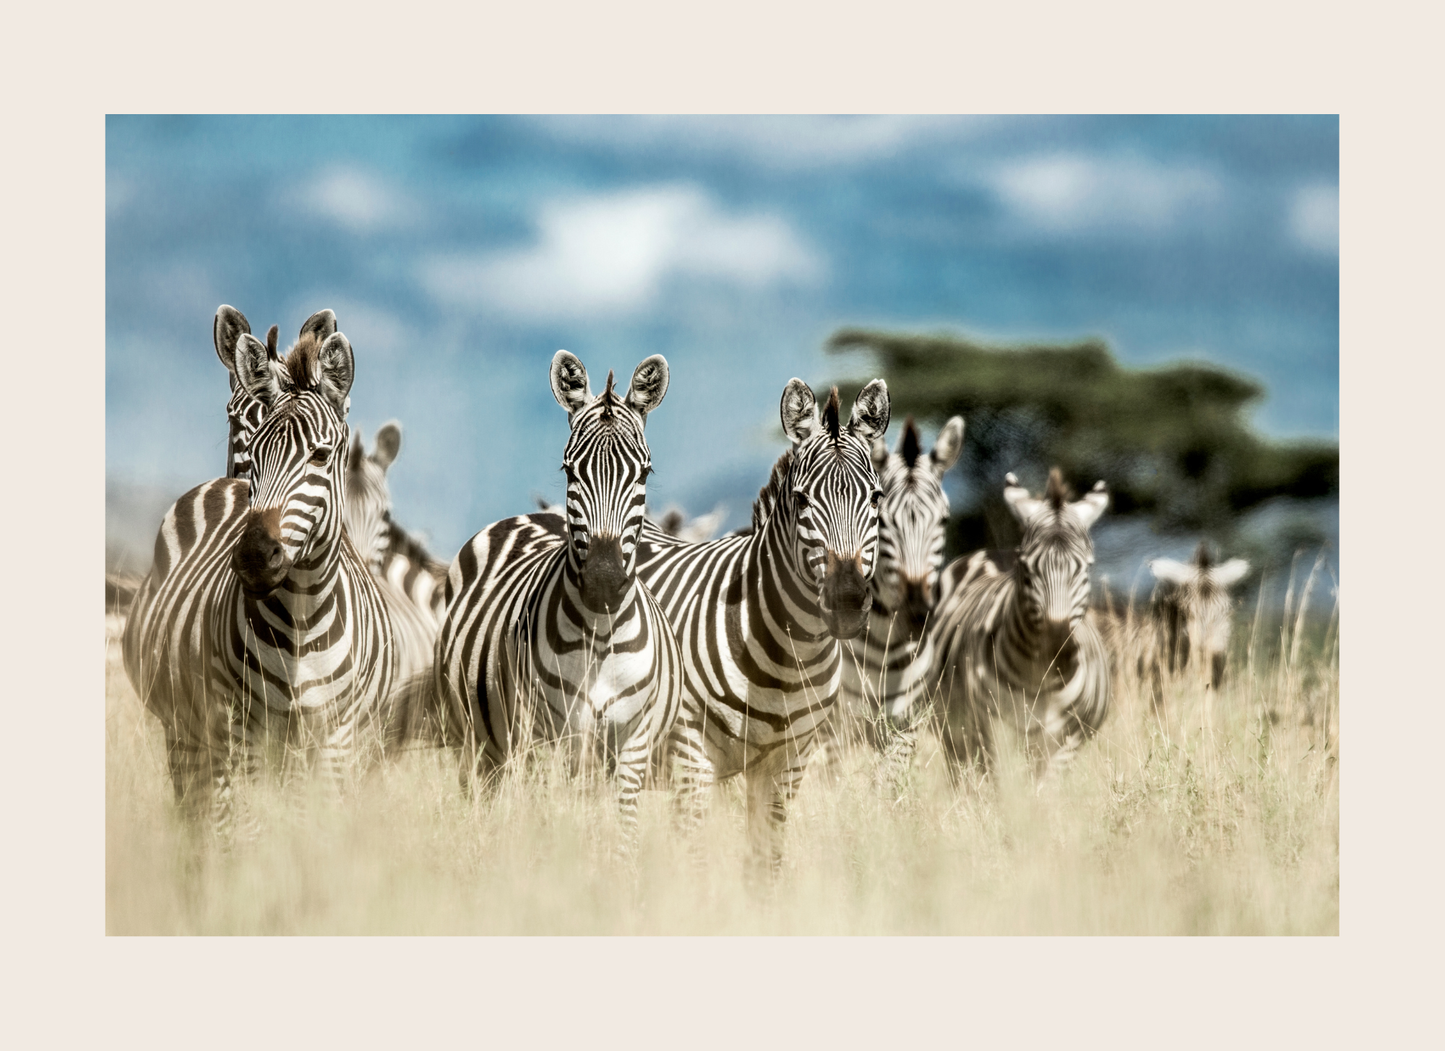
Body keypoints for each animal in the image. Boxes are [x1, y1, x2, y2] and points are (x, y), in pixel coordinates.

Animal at [122, 314, 403, 838]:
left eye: (320, 456)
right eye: (250, 442)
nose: (254, 555)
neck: (302, 619)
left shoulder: (337, 739)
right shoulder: (243, 733)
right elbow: (249, 831)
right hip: (187, 731)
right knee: (201, 814)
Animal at [433, 352, 682, 841]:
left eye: (645, 472)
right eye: (570, 470)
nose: (604, 580)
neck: (600, 637)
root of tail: (532, 514)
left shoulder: (631, 745)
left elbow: (621, 834)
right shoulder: (549, 740)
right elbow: (555, 828)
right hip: (476, 743)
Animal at [635, 378, 890, 876]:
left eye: (875, 498)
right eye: (802, 500)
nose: (847, 602)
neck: (790, 656)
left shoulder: (788, 764)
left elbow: (765, 861)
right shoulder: (692, 759)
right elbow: (694, 860)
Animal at [823, 414, 964, 789]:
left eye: (944, 520)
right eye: (883, 521)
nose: (917, 611)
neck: (887, 643)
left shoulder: (904, 726)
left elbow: (888, 787)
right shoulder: (834, 728)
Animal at [930, 468, 1112, 783]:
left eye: (1086, 567)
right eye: (1026, 567)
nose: (1057, 646)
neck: (1040, 680)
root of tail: (991, 552)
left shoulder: (1066, 741)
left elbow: (1044, 789)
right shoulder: (993, 733)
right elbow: (1007, 789)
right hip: (955, 730)